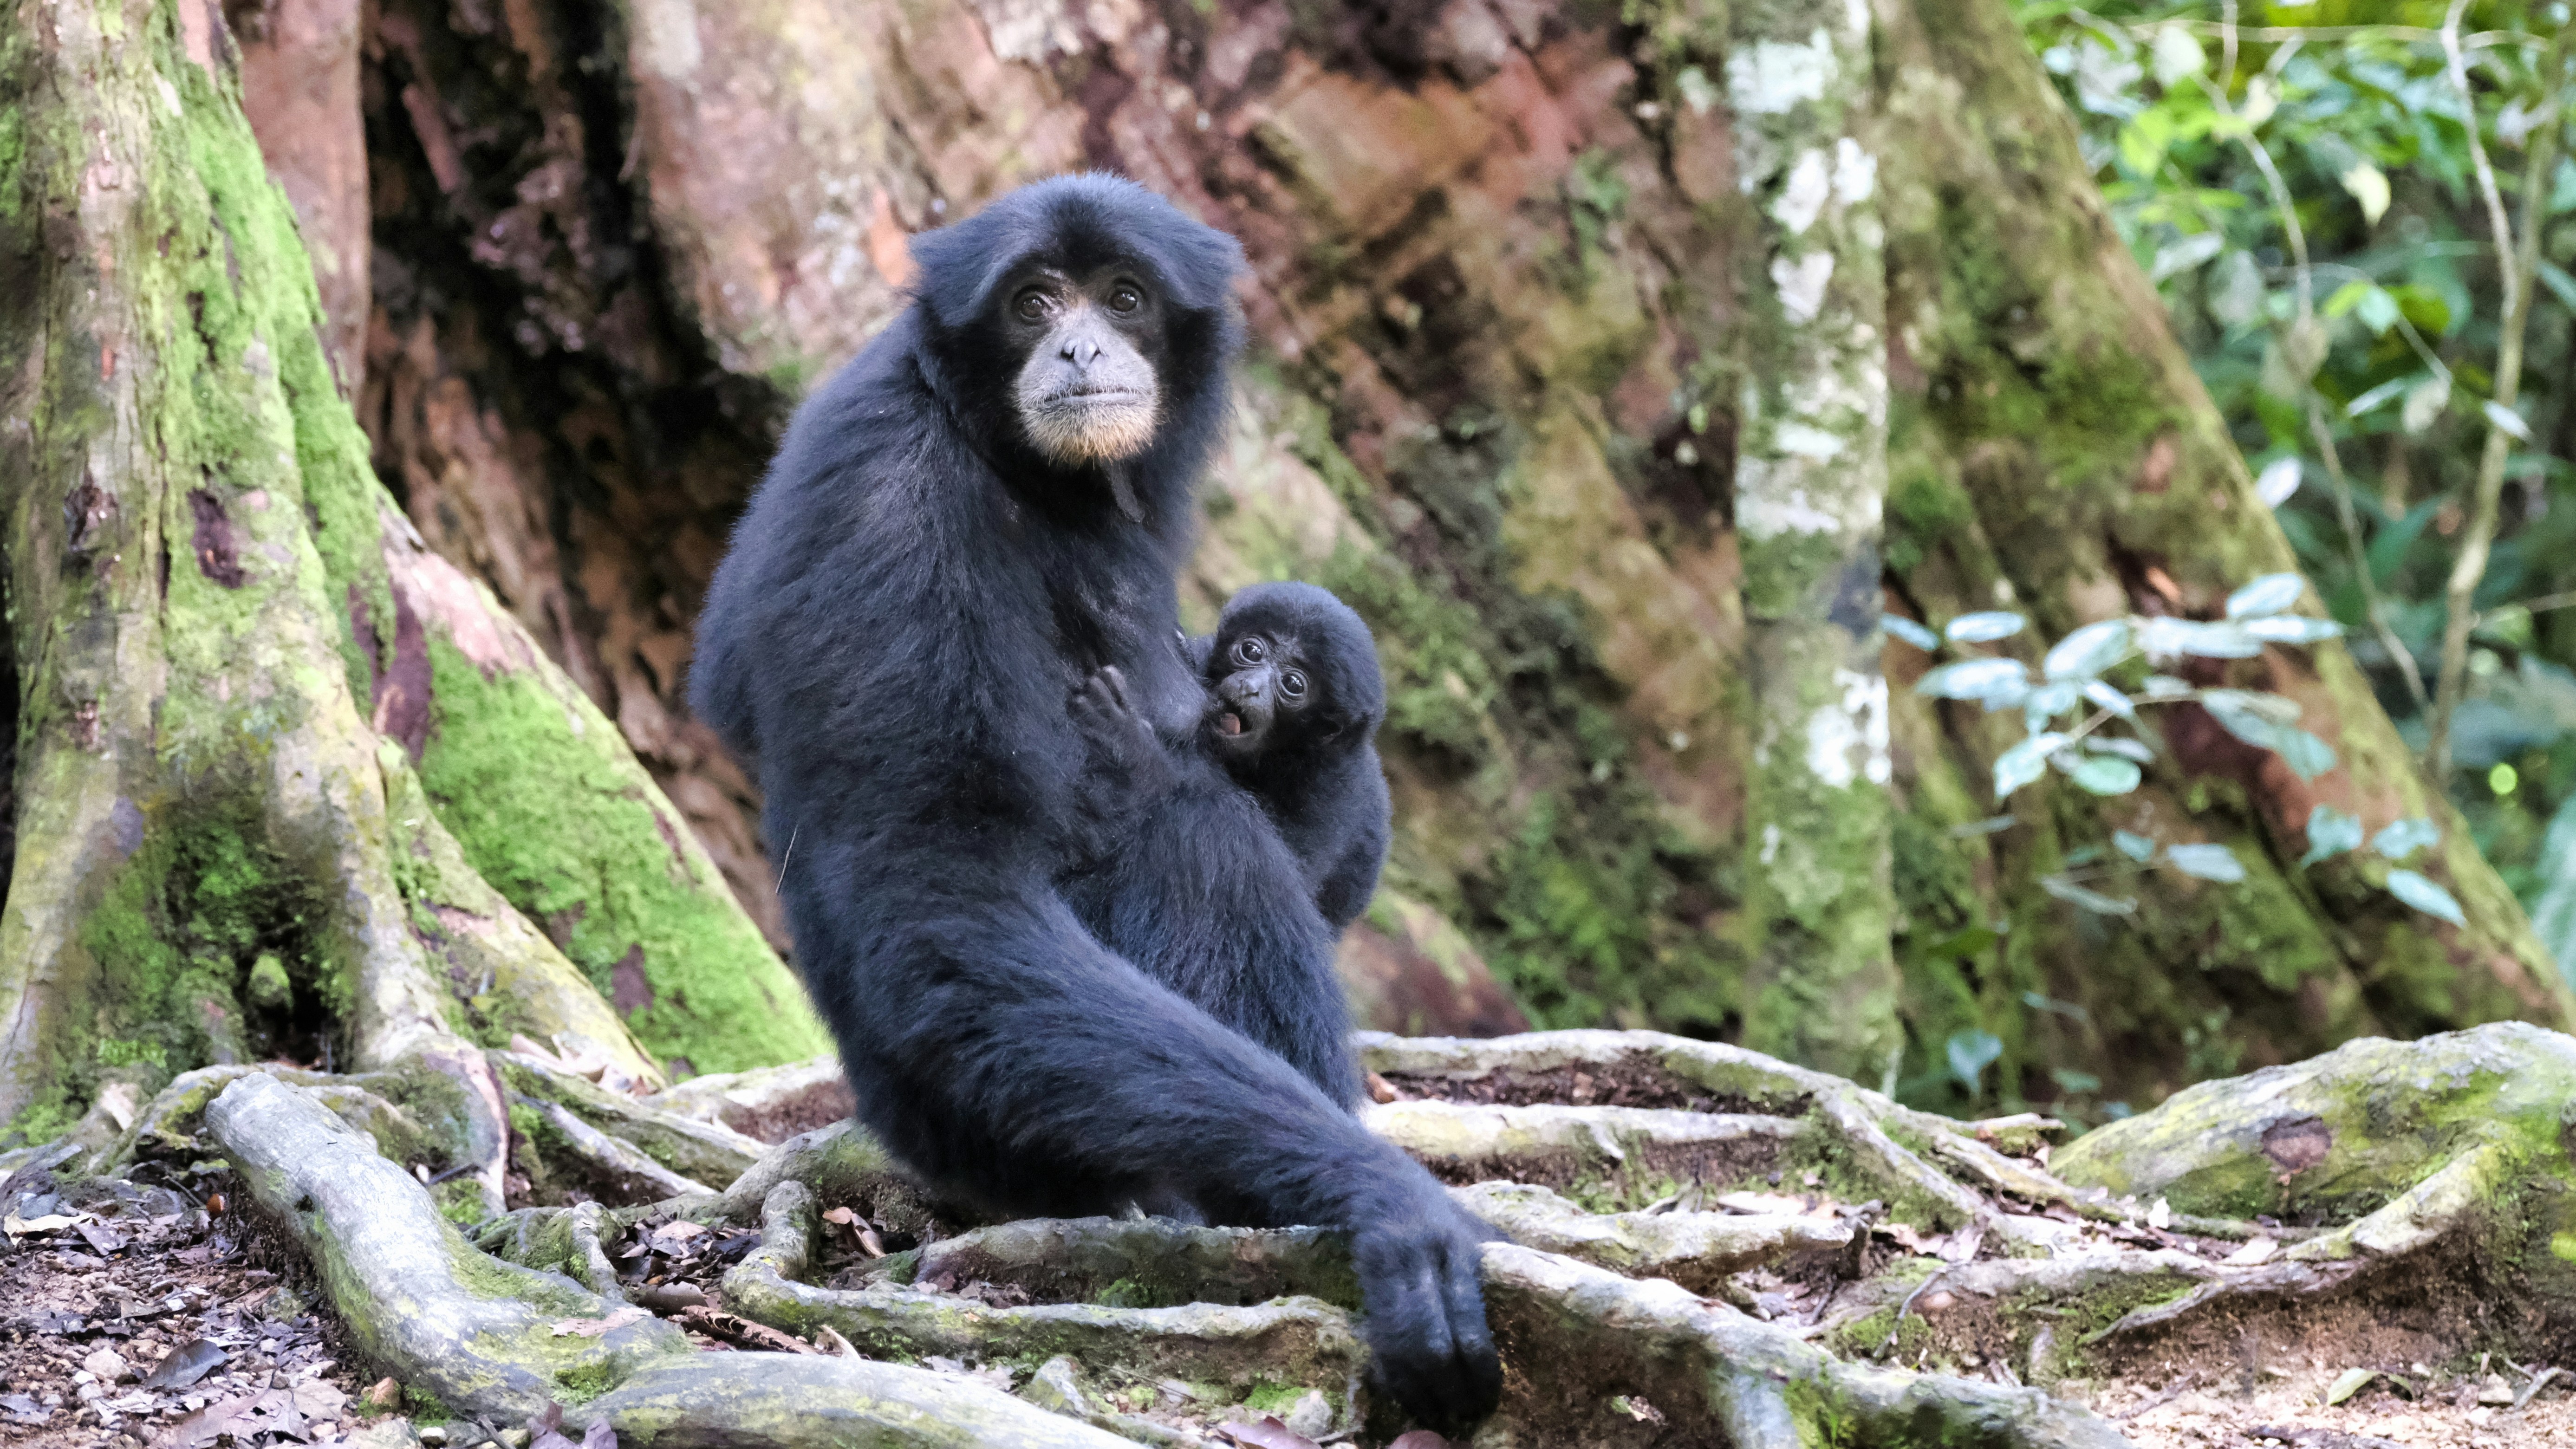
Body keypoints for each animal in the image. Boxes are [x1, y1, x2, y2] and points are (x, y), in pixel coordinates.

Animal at [688, 174, 1501, 1432]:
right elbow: (944, 896)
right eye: (1033, 302)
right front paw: (1386, 1198)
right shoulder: (887, 503)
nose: (1077, 342)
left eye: (1122, 297)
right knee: (1197, 837)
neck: (1005, 460)